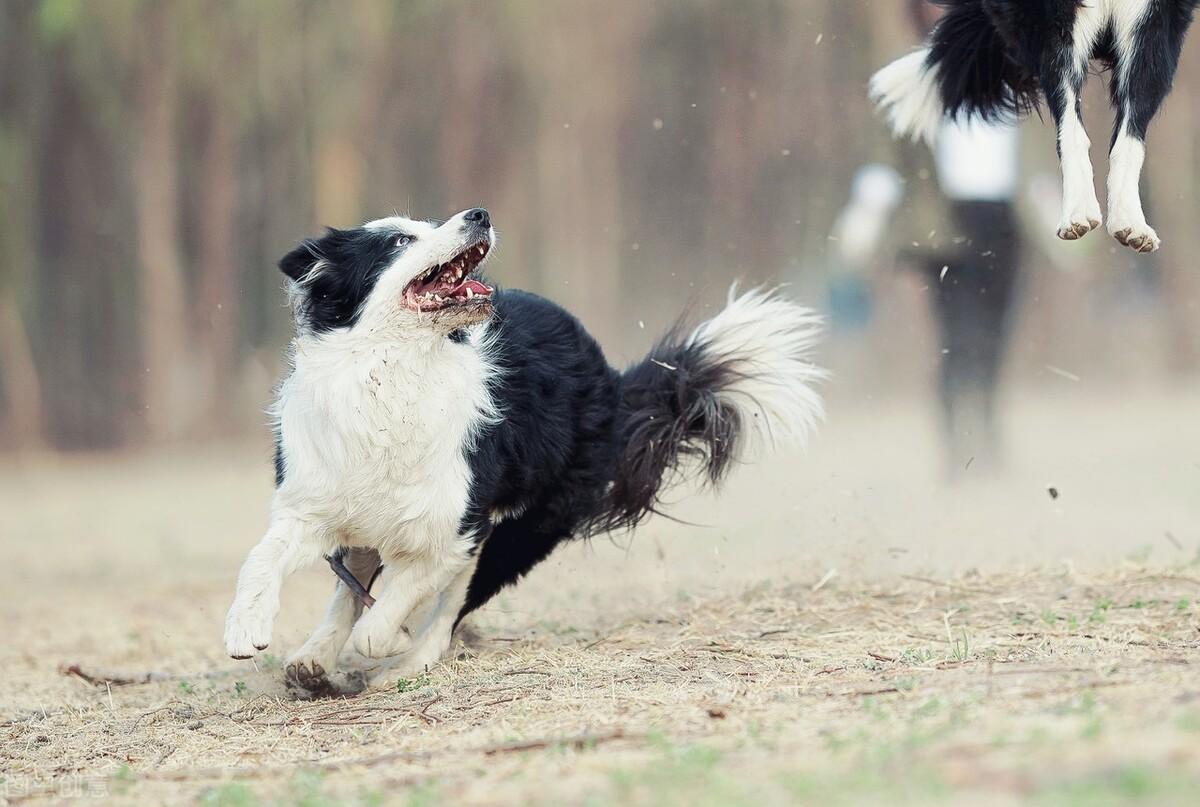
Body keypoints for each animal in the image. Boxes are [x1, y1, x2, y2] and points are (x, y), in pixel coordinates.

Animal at [225, 207, 825, 691]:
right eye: (398, 240)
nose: (478, 213)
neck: (394, 373)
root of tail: (612, 378)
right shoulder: (313, 498)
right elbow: (264, 558)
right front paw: (245, 626)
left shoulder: (458, 526)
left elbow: (400, 597)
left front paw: (389, 641)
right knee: (353, 583)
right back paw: (313, 658)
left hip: (527, 526)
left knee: (450, 604)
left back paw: (406, 661)